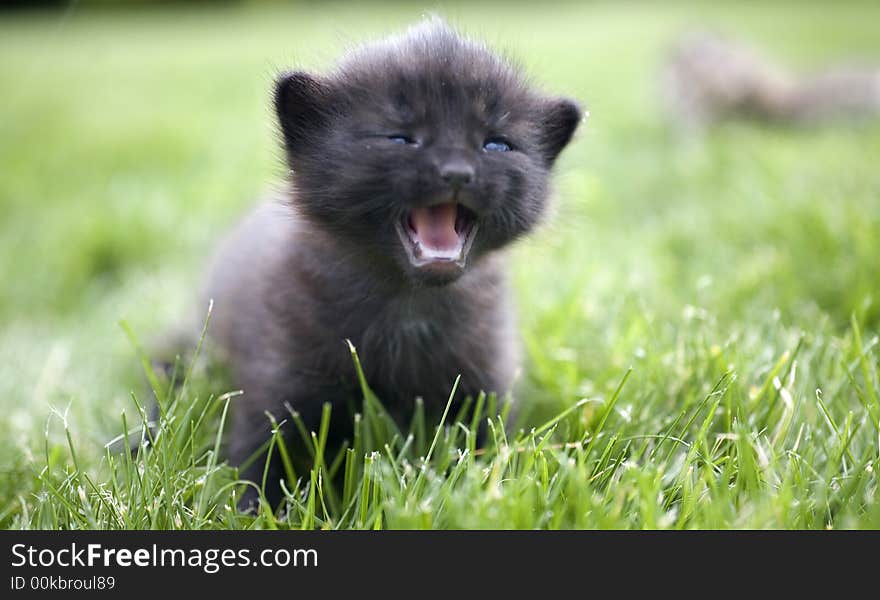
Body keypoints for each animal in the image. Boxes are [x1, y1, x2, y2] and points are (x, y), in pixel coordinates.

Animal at [192, 17, 580, 506]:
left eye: (496, 144)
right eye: (399, 138)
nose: (457, 172)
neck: (407, 306)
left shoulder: (484, 381)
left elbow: (485, 449)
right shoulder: (278, 378)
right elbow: (260, 456)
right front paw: (256, 509)